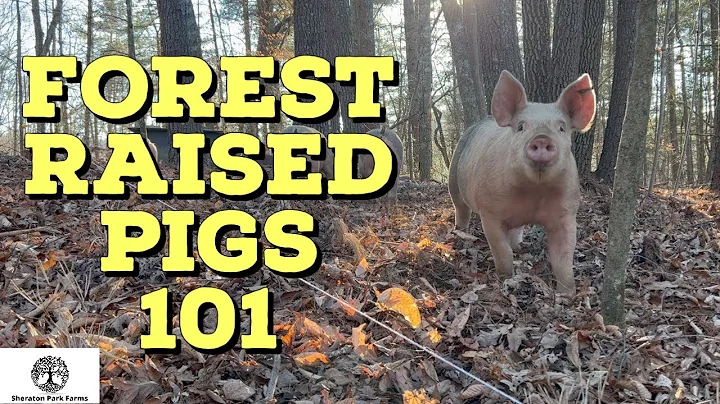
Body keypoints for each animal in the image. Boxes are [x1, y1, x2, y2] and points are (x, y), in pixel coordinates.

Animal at [448, 70, 596, 296]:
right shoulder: (489, 211)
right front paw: (506, 279)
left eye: (562, 128)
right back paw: (461, 232)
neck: (534, 191)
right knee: (461, 209)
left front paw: (566, 293)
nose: (542, 139)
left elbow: (563, 258)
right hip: (454, 179)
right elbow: (502, 252)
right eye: (521, 127)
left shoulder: (567, 212)